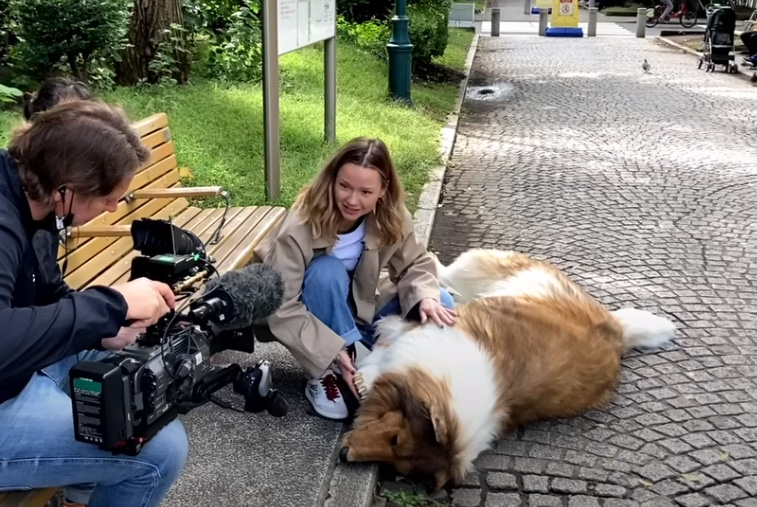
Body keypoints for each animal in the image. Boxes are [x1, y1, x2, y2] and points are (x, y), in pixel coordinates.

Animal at [340, 249, 676, 488]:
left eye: (397, 454)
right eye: (396, 440)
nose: (344, 454)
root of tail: (619, 331)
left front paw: (363, 375)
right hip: (479, 266)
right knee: (443, 271)